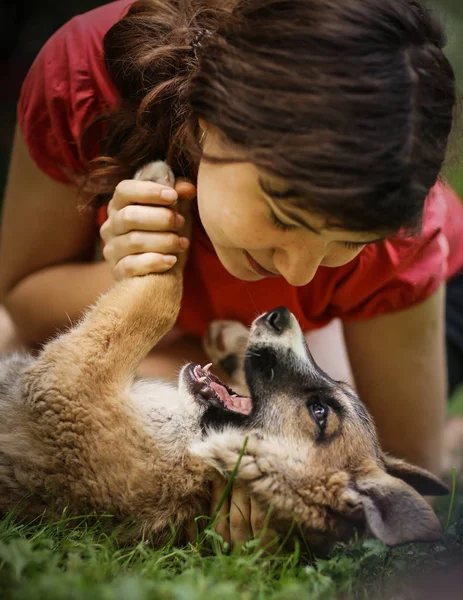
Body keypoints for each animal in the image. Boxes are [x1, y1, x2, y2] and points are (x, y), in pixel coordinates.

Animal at [0, 163, 450, 552]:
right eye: (335, 388)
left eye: (320, 412)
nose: (279, 313)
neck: (191, 453)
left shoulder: (72, 375)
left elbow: (158, 299)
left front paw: (164, 197)